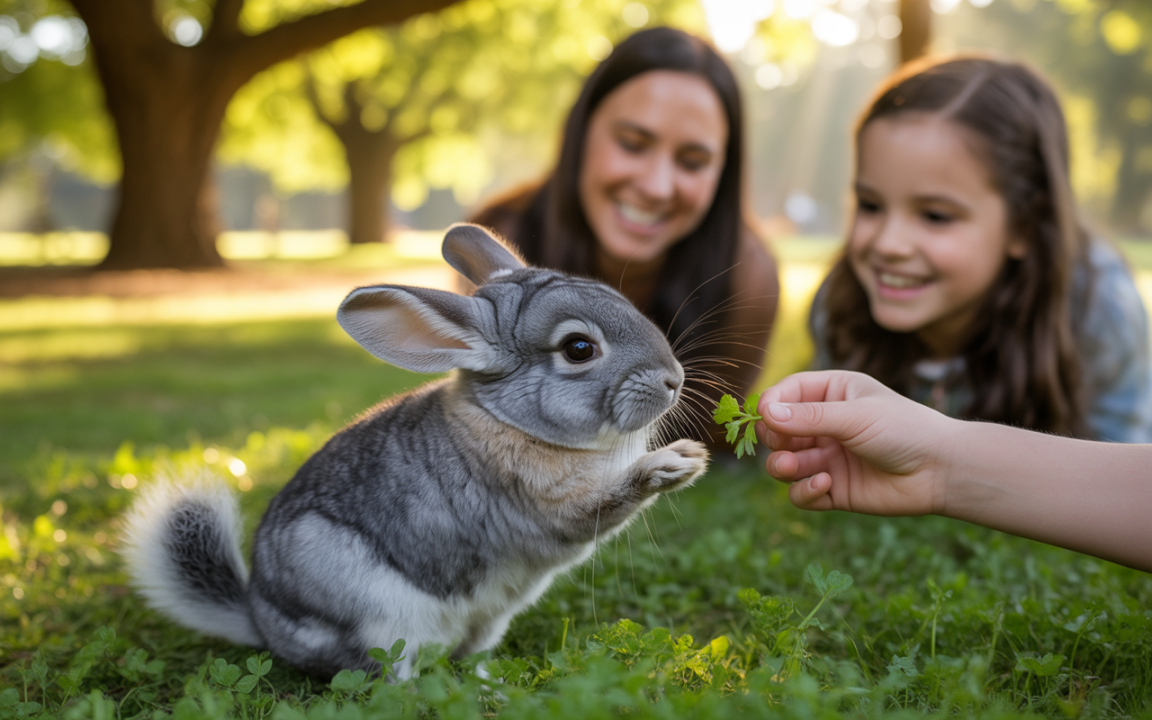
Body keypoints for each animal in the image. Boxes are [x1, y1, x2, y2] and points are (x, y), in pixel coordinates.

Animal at [120, 223, 708, 680]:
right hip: (380, 616)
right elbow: (609, 499)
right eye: (579, 349)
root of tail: (263, 625)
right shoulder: (555, 507)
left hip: (484, 620)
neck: (506, 418)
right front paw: (678, 462)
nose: (674, 379)